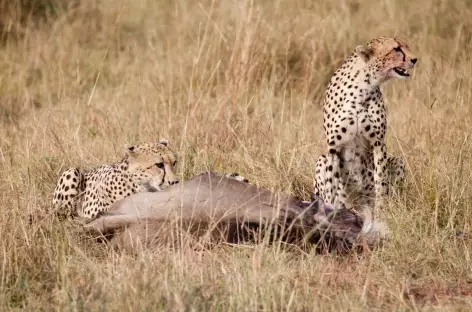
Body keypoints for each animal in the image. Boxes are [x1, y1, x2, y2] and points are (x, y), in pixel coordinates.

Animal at [318, 36, 416, 211]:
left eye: (406, 46)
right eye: (396, 49)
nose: (415, 59)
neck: (362, 87)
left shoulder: (378, 143)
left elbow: (381, 180)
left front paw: (382, 210)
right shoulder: (333, 147)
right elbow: (331, 187)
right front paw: (331, 210)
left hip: (397, 162)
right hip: (321, 160)